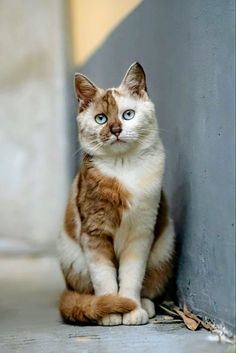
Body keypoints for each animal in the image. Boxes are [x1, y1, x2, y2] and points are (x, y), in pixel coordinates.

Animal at [57, 61, 175, 324]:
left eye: (127, 114)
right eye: (100, 119)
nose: (115, 129)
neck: (124, 168)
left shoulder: (141, 233)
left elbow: (132, 275)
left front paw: (131, 309)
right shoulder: (94, 232)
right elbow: (104, 277)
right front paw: (110, 311)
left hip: (163, 250)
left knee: (149, 286)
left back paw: (145, 306)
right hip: (72, 258)